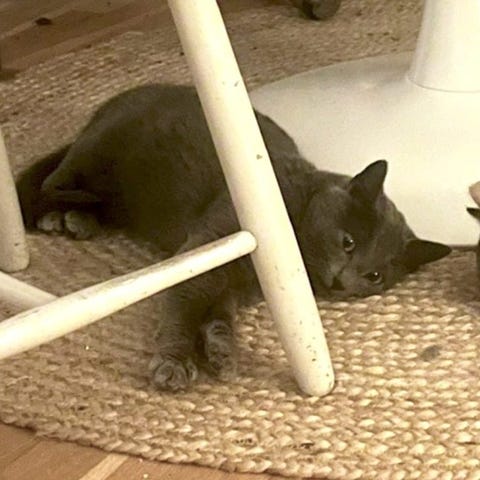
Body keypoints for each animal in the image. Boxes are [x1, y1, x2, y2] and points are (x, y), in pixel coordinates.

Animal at [16, 84, 451, 391]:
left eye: (375, 276)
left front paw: (222, 352)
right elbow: (183, 305)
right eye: (348, 242)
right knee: (54, 181)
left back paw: (79, 219)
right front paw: (175, 363)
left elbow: (219, 314)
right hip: (98, 150)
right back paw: (65, 214)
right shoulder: (207, 247)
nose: (343, 282)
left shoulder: (238, 288)